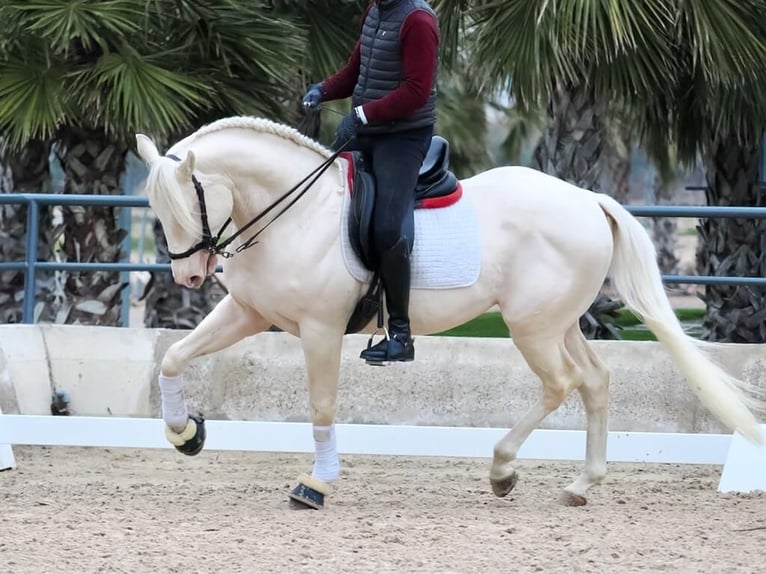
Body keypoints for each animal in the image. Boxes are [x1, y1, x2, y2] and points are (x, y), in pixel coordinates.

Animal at [136, 116, 760, 508]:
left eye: (188, 204)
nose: (189, 278)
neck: (298, 211)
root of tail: (589, 199)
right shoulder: (247, 311)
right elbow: (174, 358)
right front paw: (185, 432)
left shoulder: (320, 329)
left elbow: (321, 407)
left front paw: (316, 485)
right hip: (557, 323)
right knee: (596, 380)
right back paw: (581, 484)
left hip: (531, 327)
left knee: (561, 384)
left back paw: (503, 470)